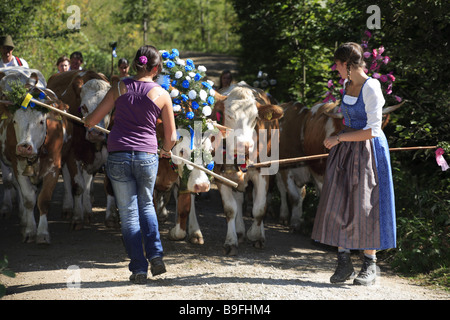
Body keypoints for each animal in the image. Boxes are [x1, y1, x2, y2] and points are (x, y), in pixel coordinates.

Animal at [0, 67, 69, 242]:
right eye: (15, 121)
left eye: (41, 121)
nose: (25, 147)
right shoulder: (18, 167)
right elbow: (29, 199)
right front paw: (30, 229)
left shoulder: (54, 167)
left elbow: (43, 199)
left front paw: (43, 233)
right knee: (12, 184)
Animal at [213, 84, 284, 255]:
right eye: (229, 116)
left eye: (255, 118)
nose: (244, 145)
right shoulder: (219, 175)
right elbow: (230, 209)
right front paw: (231, 241)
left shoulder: (263, 172)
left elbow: (260, 208)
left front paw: (256, 235)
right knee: (239, 199)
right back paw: (239, 231)